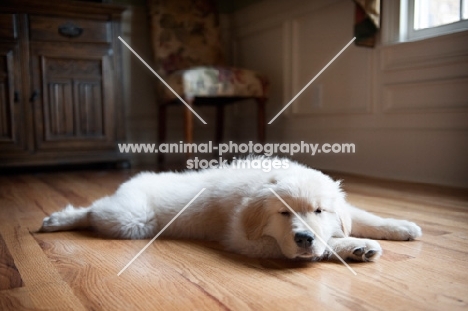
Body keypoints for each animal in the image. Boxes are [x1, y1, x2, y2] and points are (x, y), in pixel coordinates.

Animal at [40, 157, 420, 262]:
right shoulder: (245, 239)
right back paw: (59, 218)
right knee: (94, 210)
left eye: (319, 211)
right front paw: (354, 246)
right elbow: (324, 244)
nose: (303, 238)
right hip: (133, 219)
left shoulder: (345, 211)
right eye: (283, 213)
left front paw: (401, 227)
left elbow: (362, 217)